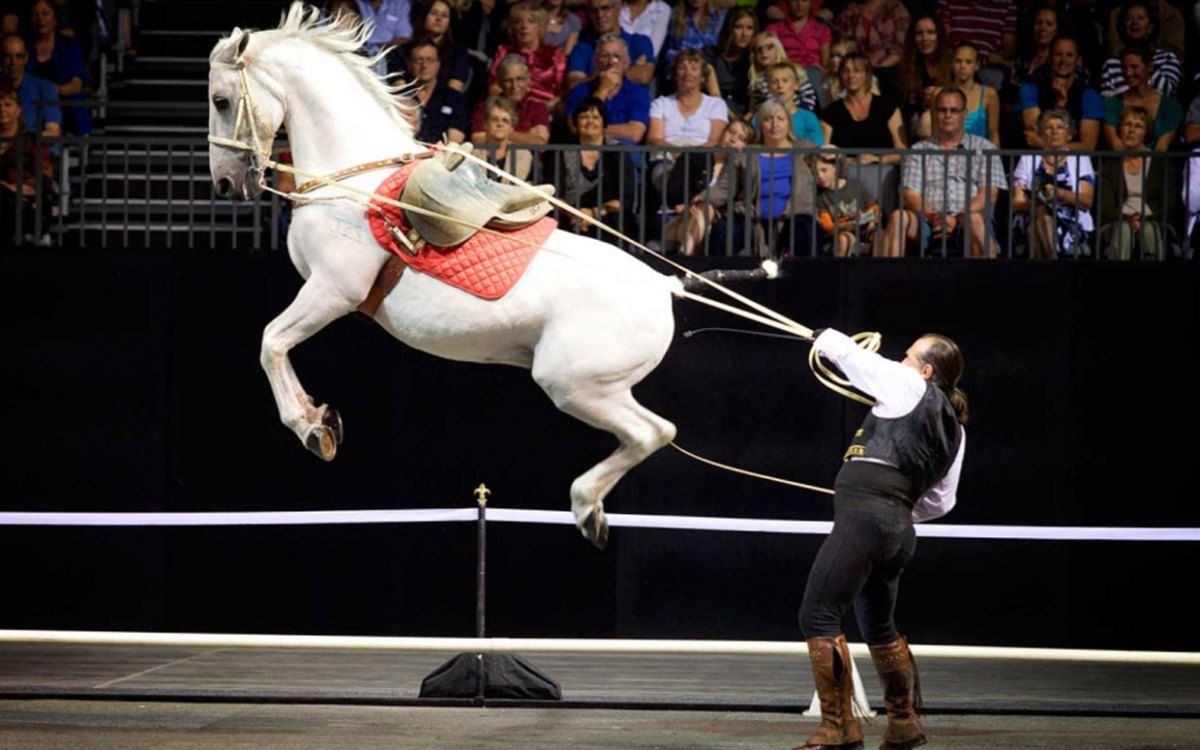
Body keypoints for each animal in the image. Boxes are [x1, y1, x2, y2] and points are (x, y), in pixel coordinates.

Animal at [206, 2, 686, 547]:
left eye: (222, 100)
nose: (225, 183)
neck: (355, 183)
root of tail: (664, 287)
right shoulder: (325, 293)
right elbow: (276, 345)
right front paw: (319, 416)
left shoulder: (332, 291)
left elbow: (271, 342)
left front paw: (312, 427)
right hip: (600, 387)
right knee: (653, 432)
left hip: (575, 384)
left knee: (653, 432)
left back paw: (586, 507)